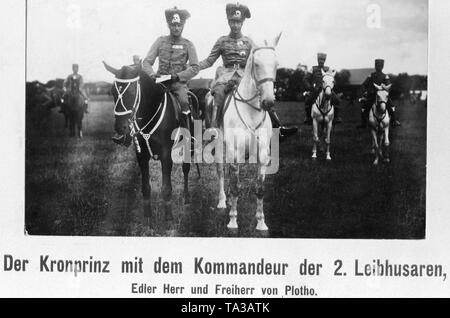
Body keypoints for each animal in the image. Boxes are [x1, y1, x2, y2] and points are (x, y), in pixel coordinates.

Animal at [103, 60, 191, 222]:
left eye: (132, 92)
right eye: (112, 92)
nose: (120, 130)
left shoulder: (166, 155)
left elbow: (166, 188)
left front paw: (168, 216)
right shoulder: (141, 156)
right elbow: (145, 187)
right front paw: (148, 215)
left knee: (186, 168)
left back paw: (186, 197)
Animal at [214, 33, 282, 232]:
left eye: (276, 65)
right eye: (257, 64)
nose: (268, 102)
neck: (250, 111)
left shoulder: (263, 155)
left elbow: (259, 188)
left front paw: (261, 222)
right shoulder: (234, 152)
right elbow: (235, 187)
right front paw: (233, 221)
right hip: (220, 146)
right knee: (221, 172)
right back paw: (223, 201)